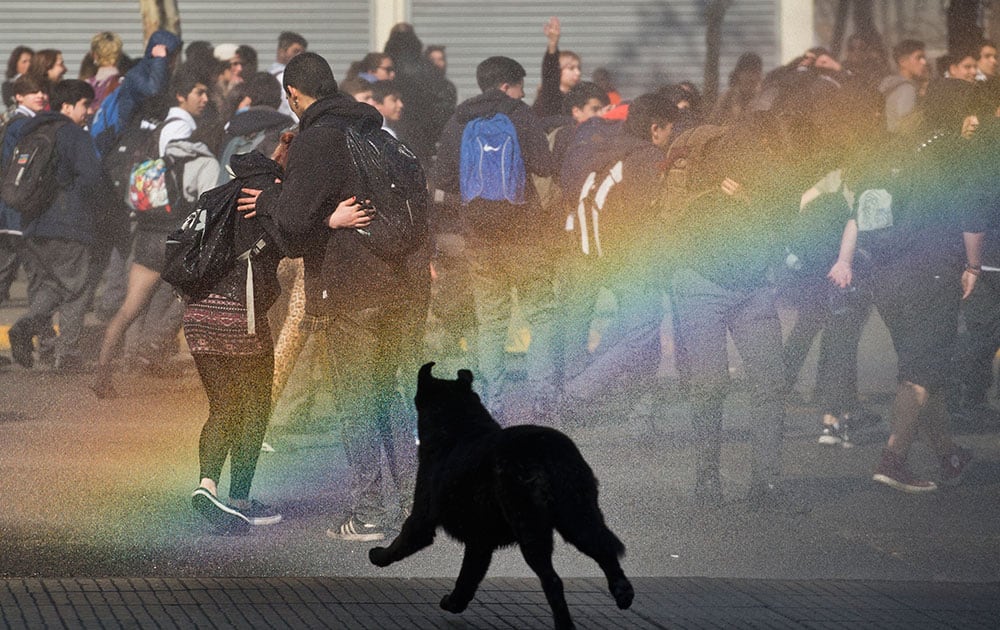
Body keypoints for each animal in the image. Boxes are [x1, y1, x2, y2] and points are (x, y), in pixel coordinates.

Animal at [368, 366, 632, 630]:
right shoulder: (480, 540)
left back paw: (565, 623)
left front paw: (378, 556)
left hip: (531, 527)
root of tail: (548, 452)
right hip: (578, 516)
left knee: (553, 580)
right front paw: (455, 603)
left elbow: (402, 541)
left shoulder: (423, 517)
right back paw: (623, 594)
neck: (459, 424)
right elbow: (468, 577)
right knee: (604, 550)